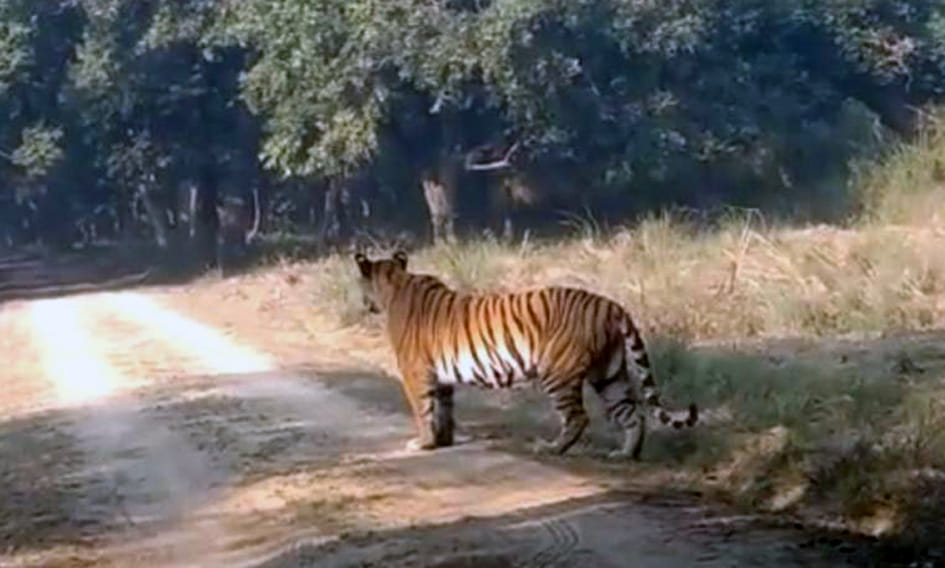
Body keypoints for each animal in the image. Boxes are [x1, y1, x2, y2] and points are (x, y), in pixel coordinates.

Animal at [354, 250, 698, 459]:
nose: (363, 303)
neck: (395, 285)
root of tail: (611, 304)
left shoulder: (415, 372)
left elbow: (422, 409)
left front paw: (423, 443)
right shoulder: (441, 376)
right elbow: (443, 409)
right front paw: (443, 440)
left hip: (557, 372)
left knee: (578, 417)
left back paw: (552, 448)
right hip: (609, 373)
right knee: (632, 413)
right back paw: (626, 454)